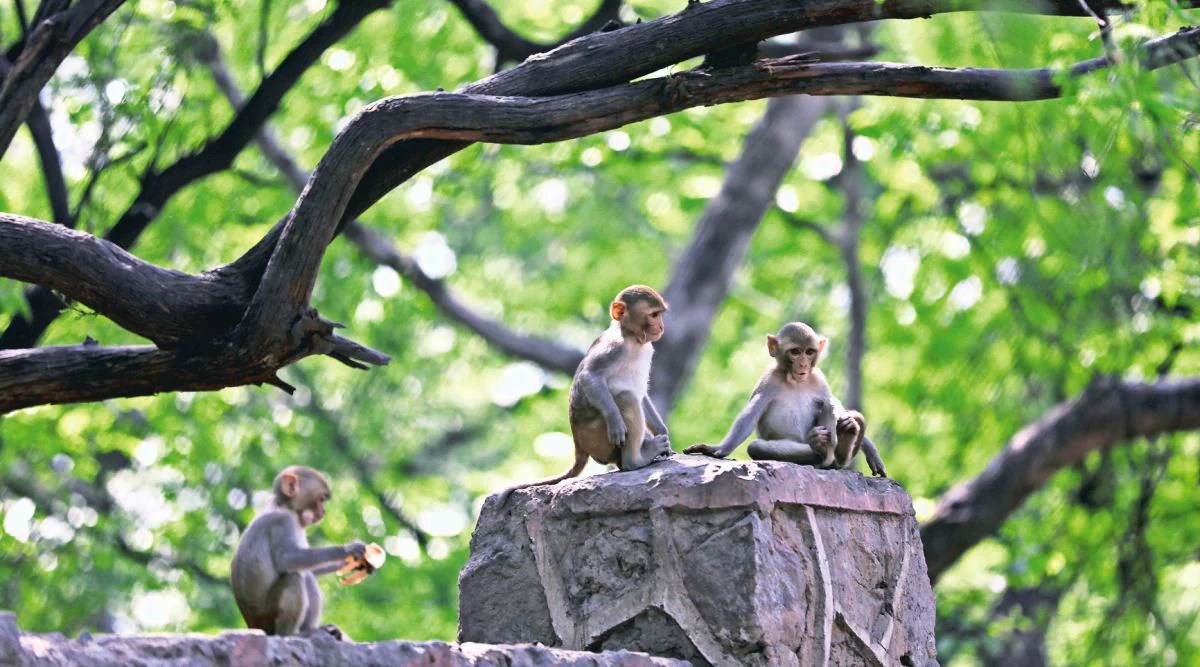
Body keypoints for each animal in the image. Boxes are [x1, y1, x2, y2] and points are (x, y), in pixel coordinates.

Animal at [231, 465, 369, 638]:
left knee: (305, 575)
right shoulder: (282, 521)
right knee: (294, 578)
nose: (323, 512)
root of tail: (254, 625)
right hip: (268, 616)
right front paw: (346, 550)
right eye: (321, 499)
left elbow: (309, 567)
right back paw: (291, 634)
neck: (285, 507)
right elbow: (287, 559)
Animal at [501, 285, 673, 499]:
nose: (661, 327)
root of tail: (579, 444)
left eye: (660, 314)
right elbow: (589, 376)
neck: (631, 338)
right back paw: (635, 460)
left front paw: (663, 431)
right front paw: (615, 422)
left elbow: (643, 396)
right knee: (626, 398)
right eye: (654, 315)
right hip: (596, 438)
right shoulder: (613, 348)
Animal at [684, 322, 886, 477]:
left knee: (828, 404)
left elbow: (832, 402)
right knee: (756, 447)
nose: (803, 364)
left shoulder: (818, 378)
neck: (795, 380)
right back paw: (820, 450)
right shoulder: (769, 380)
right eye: (795, 352)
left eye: (809, 352)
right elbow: (750, 417)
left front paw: (869, 447)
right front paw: (718, 448)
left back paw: (841, 443)